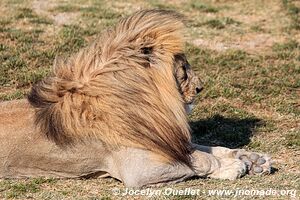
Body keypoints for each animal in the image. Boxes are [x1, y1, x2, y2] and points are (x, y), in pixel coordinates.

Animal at [0, 9, 272, 188]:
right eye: (184, 68)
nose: (200, 88)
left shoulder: (164, 138)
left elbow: (205, 147)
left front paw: (252, 159)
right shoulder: (139, 171)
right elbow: (199, 160)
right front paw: (234, 167)